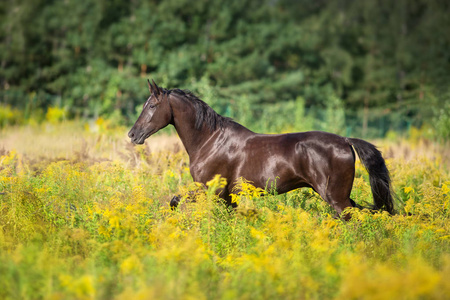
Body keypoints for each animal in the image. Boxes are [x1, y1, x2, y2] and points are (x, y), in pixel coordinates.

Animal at [127, 79, 394, 216]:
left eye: (152, 105)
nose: (133, 134)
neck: (209, 141)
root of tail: (346, 141)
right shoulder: (228, 196)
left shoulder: (209, 189)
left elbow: (174, 200)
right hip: (341, 196)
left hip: (336, 198)